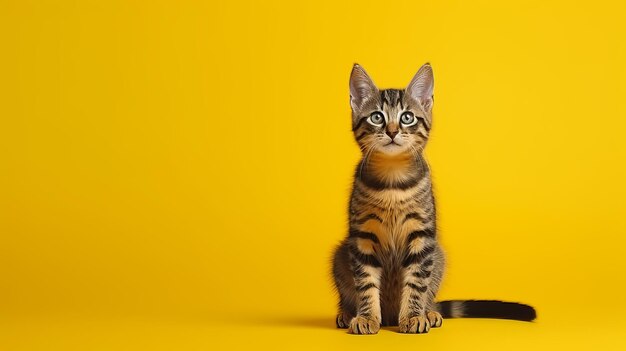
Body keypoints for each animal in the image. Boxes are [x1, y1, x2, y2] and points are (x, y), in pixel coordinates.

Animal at [330, 63, 532, 336]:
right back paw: (347, 313)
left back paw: (430, 312)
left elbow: (417, 281)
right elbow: (365, 282)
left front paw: (414, 316)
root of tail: (390, 315)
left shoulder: (422, 235)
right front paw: (367, 317)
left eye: (407, 117)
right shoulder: (362, 236)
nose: (392, 131)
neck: (392, 179)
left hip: (439, 255)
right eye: (377, 117)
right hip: (340, 253)